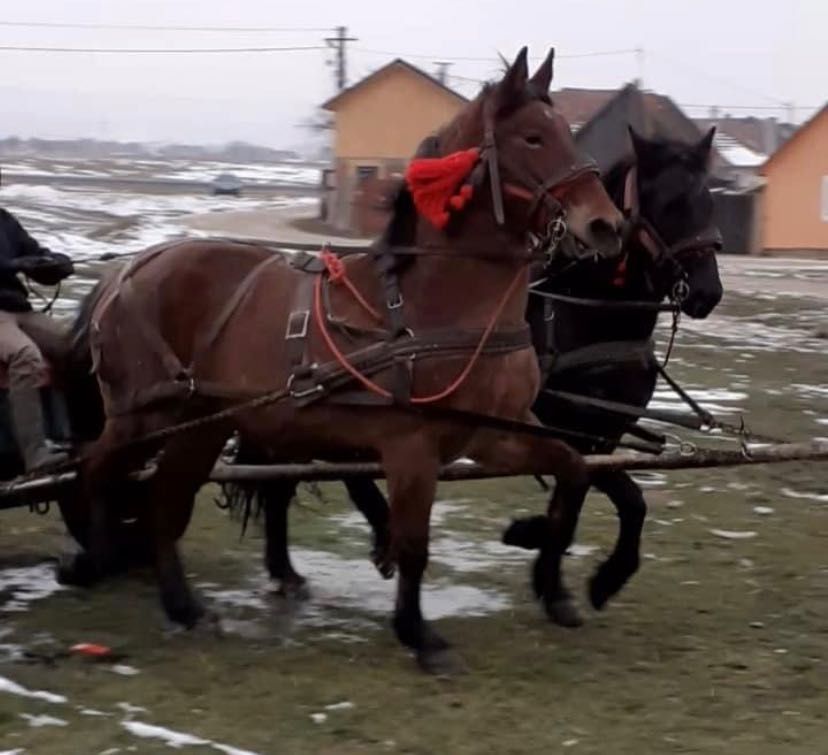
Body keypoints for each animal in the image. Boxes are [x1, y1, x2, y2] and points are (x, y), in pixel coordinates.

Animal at [81, 48, 620, 672]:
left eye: (567, 133)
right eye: (533, 137)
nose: (607, 225)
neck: (436, 304)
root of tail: (130, 269)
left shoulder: (494, 433)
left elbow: (573, 473)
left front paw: (552, 585)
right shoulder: (412, 447)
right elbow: (413, 544)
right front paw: (419, 634)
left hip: (204, 426)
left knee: (162, 501)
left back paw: (182, 605)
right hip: (147, 417)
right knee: (98, 473)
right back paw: (95, 561)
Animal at [231, 127, 720, 628]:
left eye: (709, 200)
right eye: (672, 203)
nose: (708, 293)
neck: (585, 314)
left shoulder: (599, 437)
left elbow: (625, 502)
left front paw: (591, 576)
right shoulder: (567, 431)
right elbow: (581, 501)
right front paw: (545, 562)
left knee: (285, 483)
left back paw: (294, 567)